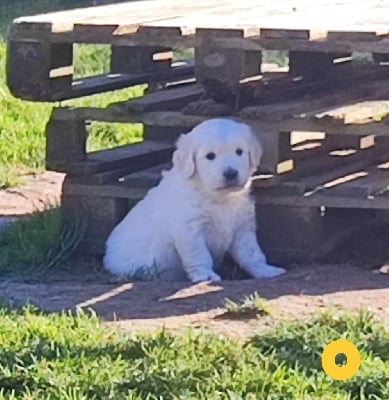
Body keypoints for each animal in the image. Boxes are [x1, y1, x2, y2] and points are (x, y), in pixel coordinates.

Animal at [103, 118, 284, 282]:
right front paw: (206, 276)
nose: (231, 173)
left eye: (239, 151)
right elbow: (200, 255)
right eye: (210, 156)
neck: (218, 198)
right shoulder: (189, 229)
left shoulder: (243, 227)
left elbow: (252, 254)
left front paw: (266, 270)